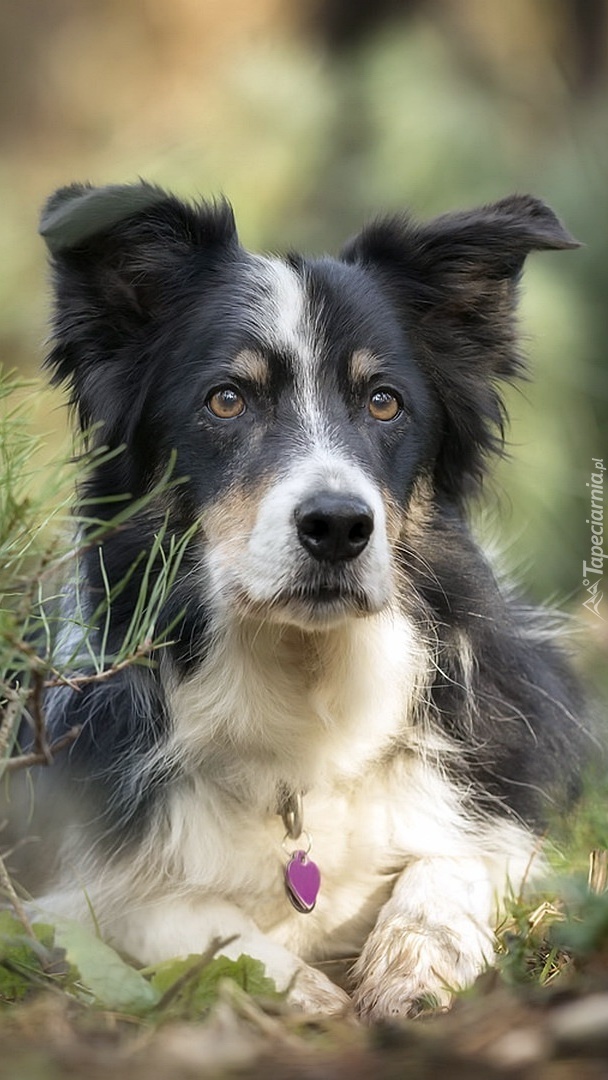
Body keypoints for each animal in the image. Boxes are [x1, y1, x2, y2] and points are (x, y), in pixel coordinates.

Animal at [26, 181, 587, 1015]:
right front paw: (299, 992)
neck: (306, 677)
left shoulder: (497, 797)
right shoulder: (62, 877)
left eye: (384, 402)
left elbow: (456, 859)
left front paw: (416, 962)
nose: (339, 527)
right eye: (226, 400)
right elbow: (155, 910)